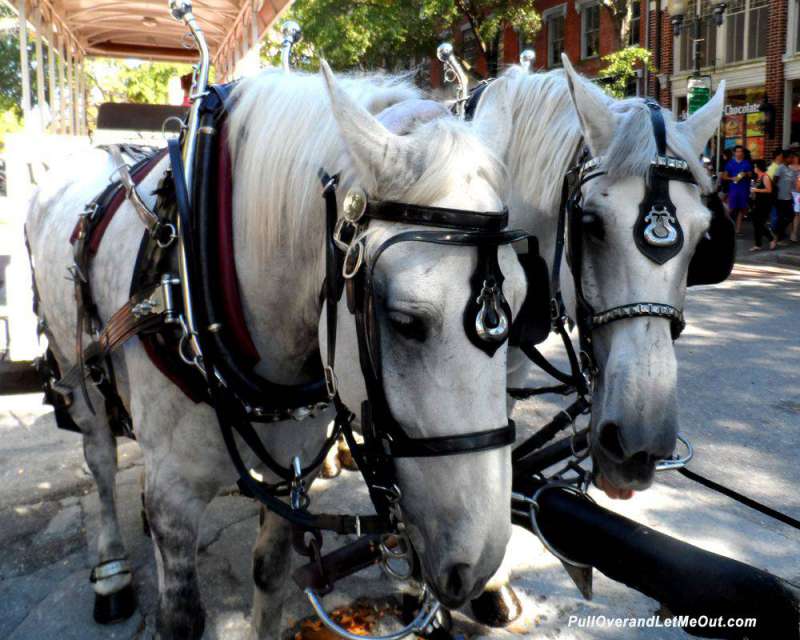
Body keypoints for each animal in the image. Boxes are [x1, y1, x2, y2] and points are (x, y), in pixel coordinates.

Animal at [26, 65, 524, 640]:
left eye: (522, 299)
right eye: (405, 321)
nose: (479, 563)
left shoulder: (294, 469)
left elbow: (271, 573)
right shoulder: (175, 493)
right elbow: (180, 614)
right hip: (74, 366)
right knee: (101, 459)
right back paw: (111, 570)